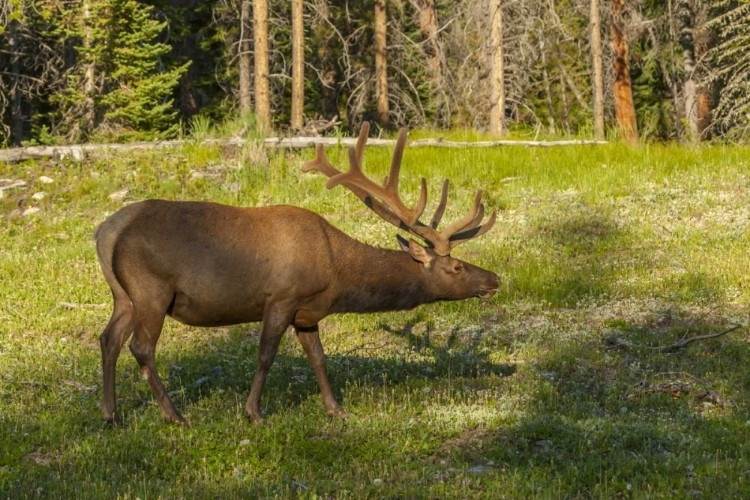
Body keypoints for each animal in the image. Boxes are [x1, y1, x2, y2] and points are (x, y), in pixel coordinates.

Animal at [97, 123, 502, 424]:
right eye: (456, 266)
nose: (494, 279)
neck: (337, 273)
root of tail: (105, 231)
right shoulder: (282, 297)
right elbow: (266, 354)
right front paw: (254, 412)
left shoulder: (308, 312)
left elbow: (319, 358)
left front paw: (336, 409)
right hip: (151, 290)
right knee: (141, 346)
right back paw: (174, 415)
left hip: (123, 295)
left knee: (109, 339)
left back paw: (111, 414)